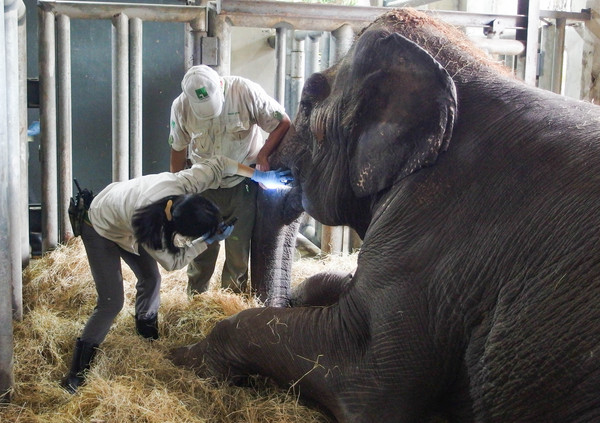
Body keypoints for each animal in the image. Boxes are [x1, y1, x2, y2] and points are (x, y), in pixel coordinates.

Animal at [168, 8, 600, 422]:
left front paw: (182, 356)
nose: (265, 169)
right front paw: (299, 297)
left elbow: (365, 382)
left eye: (306, 104)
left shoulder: (431, 235)